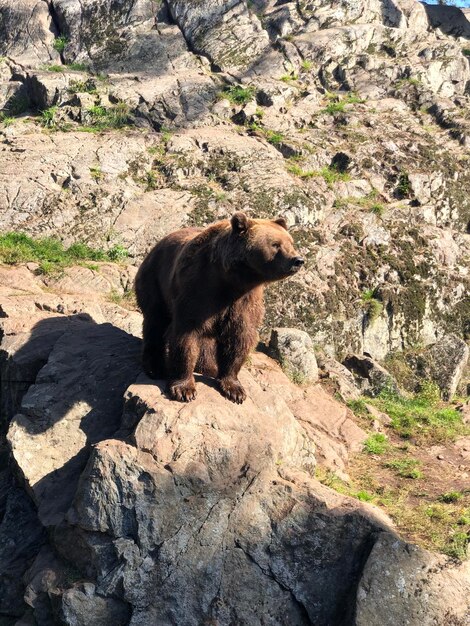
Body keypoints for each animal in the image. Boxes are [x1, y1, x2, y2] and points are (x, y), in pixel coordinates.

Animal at [135, 212, 304, 402]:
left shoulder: (244, 303)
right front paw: (184, 389)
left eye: (291, 242)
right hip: (155, 280)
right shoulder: (199, 290)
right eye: (275, 244)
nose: (298, 260)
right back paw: (154, 366)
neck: (232, 281)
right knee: (155, 322)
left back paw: (208, 367)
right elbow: (186, 335)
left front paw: (234, 389)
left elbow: (239, 339)